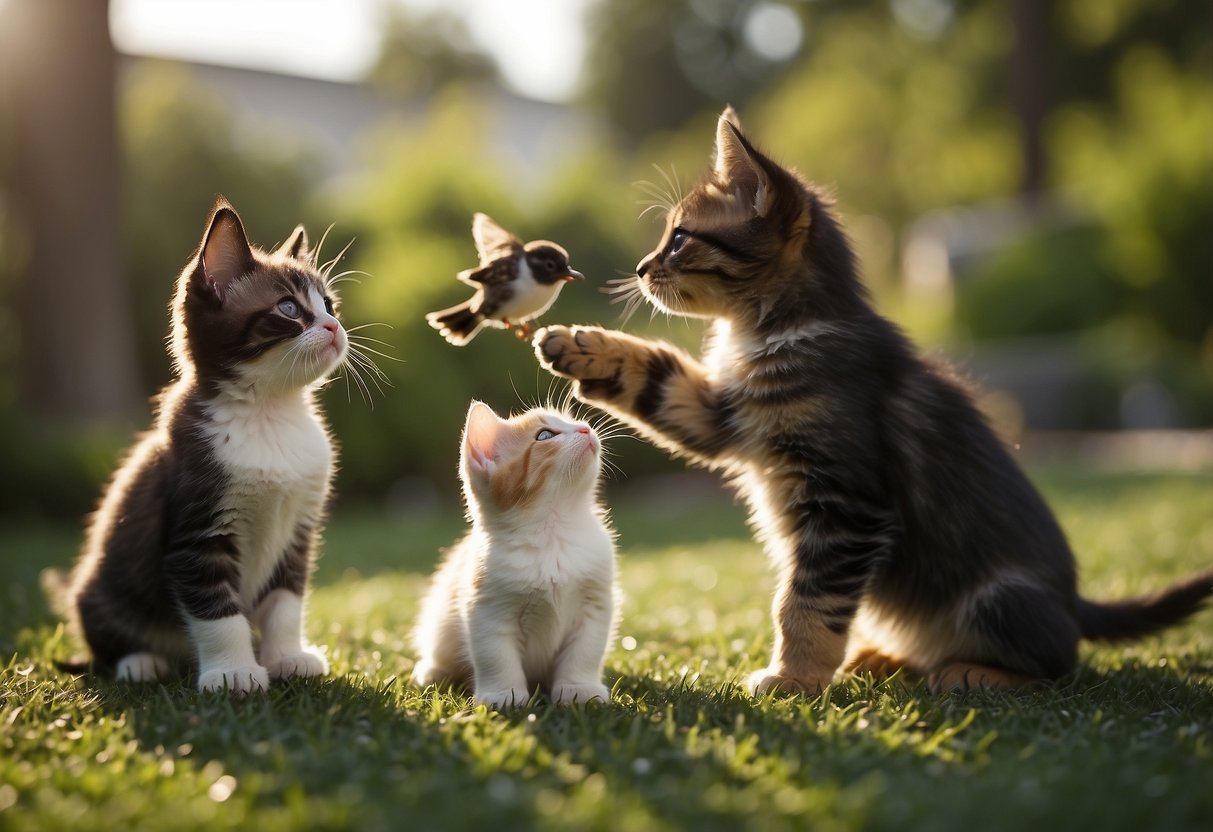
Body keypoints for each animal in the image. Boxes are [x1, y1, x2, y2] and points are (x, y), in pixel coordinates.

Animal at [62, 200, 349, 698]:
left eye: (328, 305)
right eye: (289, 308)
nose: (334, 325)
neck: (269, 413)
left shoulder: (299, 528)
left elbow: (286, 601)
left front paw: (286, 657)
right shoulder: (197, 530)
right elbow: (217, 610)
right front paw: (233, 673)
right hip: (101, 588)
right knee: (109, 639)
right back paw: (141, 662)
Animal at [412, 400, 616, 708]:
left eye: (572, 421)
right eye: (545, 435)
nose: (585, 428)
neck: (552, 535)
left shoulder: (595, 602)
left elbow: (585, 651)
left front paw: (579, 689)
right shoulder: (487, 607)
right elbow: (495, 656)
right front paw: (504, 695)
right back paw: (433, 671)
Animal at [533, 107, 1213, 693]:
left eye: (680, 239)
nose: (642, 267)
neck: (780, 331)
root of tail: (1073, 604)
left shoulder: (846, 503)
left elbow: (805, 600)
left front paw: (793, 678)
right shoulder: (722, 417)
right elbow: (660, 376)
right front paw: (583, 348)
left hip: (1001, 598)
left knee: (1058, 664)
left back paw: (973, 672)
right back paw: (884, 657)